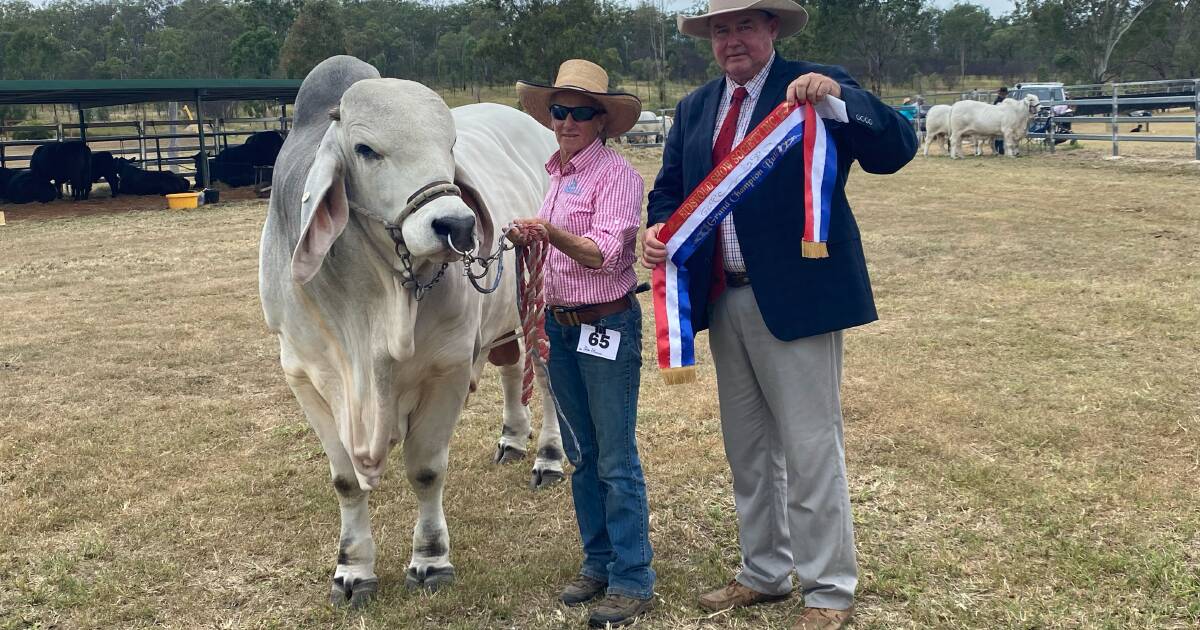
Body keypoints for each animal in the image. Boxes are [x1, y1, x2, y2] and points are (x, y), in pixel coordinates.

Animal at [256, 56, 561, 607]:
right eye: (365, 149)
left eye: (451, 145)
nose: (458, 225)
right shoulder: (304, 376)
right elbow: (345, 482)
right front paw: (352, 570)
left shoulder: (448, 368)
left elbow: (425, 470)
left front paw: (431, 560)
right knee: (512, 371)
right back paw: (512, 439)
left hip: (544, 300)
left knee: (547, 378)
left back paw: (548, 457)